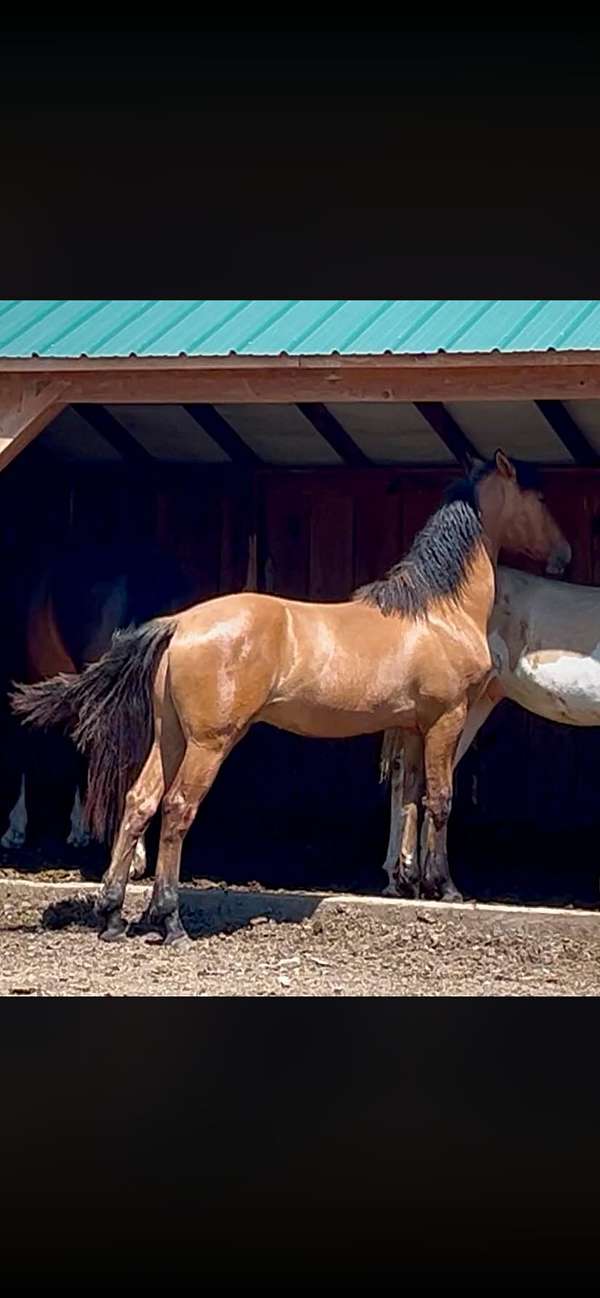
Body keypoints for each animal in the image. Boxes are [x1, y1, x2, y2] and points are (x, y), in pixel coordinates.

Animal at [11, 450, 570, 945]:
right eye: (539, 495)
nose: (565, 555)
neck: (436, 612)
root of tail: (179, 624)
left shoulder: (412, 727)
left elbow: (410, 800)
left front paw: (410, 882)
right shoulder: (446, 719)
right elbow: (441, 800)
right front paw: (447, 888)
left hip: (169, 738)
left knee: (139, 803)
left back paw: (111, 916)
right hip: (209, 744)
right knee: (177, 809)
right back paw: (169, 922)